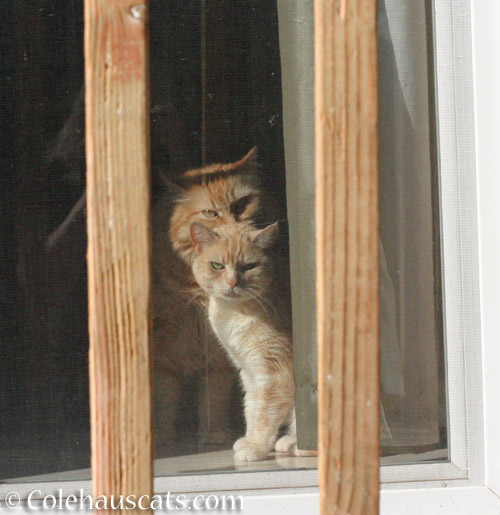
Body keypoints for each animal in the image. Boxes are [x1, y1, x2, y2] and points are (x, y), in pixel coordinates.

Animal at [152, 147, 278, 450]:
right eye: (210, 213)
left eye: (242, 204)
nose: (236, 230)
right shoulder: (163, 342)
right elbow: (163, 395)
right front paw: (162, 438)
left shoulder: (216, 350)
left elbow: (215, 394)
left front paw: (214, 433)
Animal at [188, 220, 302, 462]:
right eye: (217, 266)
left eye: (249, 266)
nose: (233, 282)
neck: (233, 312)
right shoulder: (248, 370)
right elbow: (252, 408)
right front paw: (250, 440)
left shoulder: (275, 373)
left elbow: (265, 413)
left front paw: (256, 446)